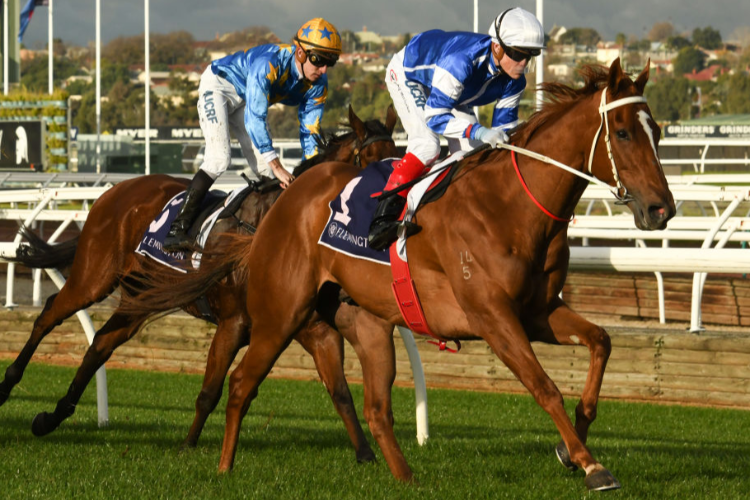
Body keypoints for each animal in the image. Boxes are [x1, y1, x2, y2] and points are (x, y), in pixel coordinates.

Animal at [1, 105, 400, 460]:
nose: (391, 222)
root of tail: (114, 192)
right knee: (49, 314)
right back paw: (8, 385)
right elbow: (210, 391)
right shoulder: (233, 323)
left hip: (139, 296)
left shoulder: (314, 328)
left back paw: (51, 418)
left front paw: (368, 456)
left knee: (100, 343)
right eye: (372, 164)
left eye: (400, 160)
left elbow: (341, 393)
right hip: (94, 276)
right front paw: (188, 446)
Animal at [191, 59, 672, 492]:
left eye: (658, 132)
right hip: (280, 314)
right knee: (240, 383)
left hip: (367, 324)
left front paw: (569, 449)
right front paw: (592, 466)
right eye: (623, 132)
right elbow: (544, 386)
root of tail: (287, 196)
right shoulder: (493, 317)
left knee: (376, 408)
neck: (511, 206)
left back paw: (407, 478)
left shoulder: (538, 312)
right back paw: (223, 467)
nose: (661, 209)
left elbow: (601, 342)